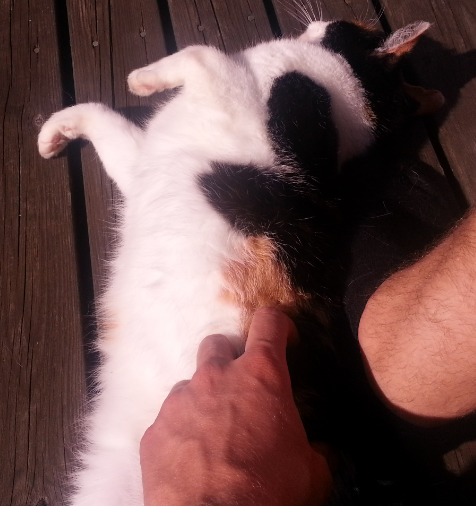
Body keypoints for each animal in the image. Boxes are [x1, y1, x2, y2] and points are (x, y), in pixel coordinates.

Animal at [38, 19, 436, 506]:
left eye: (351, 26)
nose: (317, 21)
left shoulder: (233, 91)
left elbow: (199, 52)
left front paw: (141, 80)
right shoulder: (143, 159)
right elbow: (101, 116)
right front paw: (54, 133)